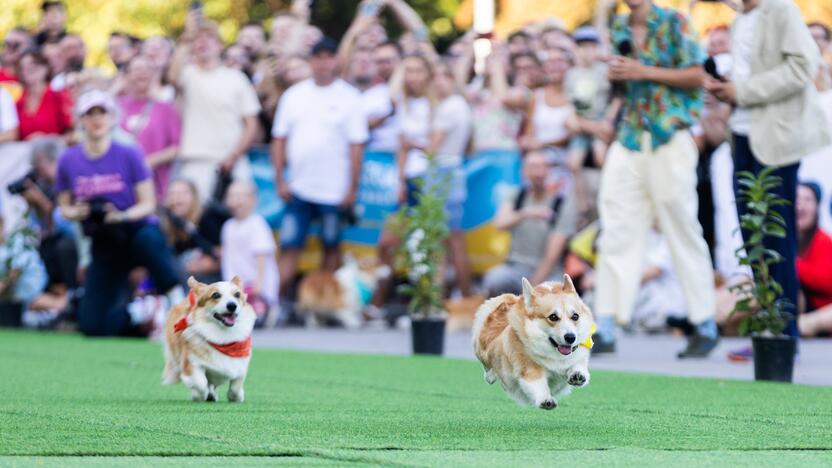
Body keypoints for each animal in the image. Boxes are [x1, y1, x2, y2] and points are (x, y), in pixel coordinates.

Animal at [468, 274, 600, 410]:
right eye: (553, 317)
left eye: (575, 316)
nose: (570, 337)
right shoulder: (528, 369)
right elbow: (538, 384)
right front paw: (546, 400)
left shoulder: (578, 355)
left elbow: (578, 364)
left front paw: (578, 375)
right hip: (481, 350)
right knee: (487, 366)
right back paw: (490, 376)